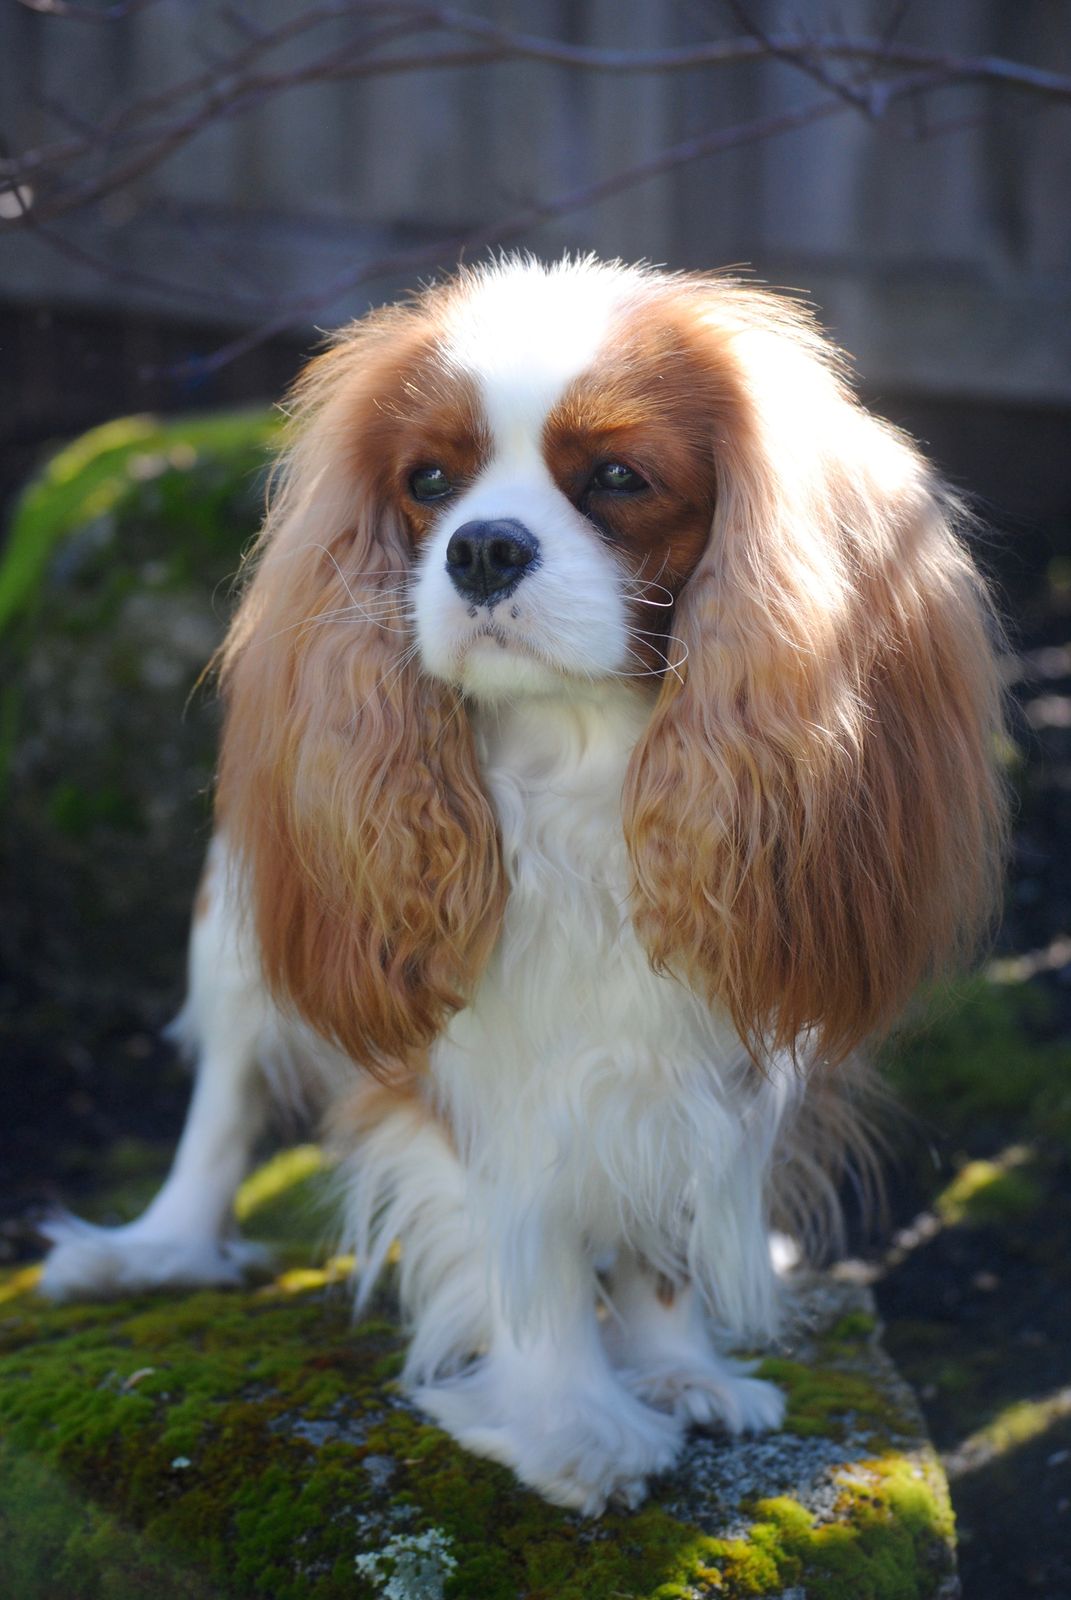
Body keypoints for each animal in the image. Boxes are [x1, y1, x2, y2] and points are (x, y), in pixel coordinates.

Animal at [41, 255, 1006, 1513]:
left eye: (617, 478)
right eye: (428, 483)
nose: (481, 548)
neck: (579, 750)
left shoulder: (701, 1039)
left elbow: (660, 1215)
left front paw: (681, 1367)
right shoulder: (473, 1063)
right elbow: (528, 1243)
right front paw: (577, 1424)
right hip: (239, 925)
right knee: (227, 1092)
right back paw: (156, 1246)